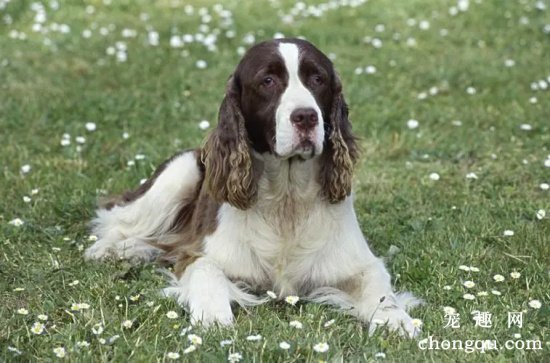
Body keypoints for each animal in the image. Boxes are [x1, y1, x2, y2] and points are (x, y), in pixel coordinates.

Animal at [85, 37, 422, 338]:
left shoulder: (359, 262)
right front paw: (213, 317)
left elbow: (379, 287)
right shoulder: (198, 254)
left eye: (318, 79)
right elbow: (206, 271)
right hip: (181, 170)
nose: (306, 117)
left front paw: (396, 321)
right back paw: (110, 249)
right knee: (118, 220)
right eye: (268, 81)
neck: (287, 200)